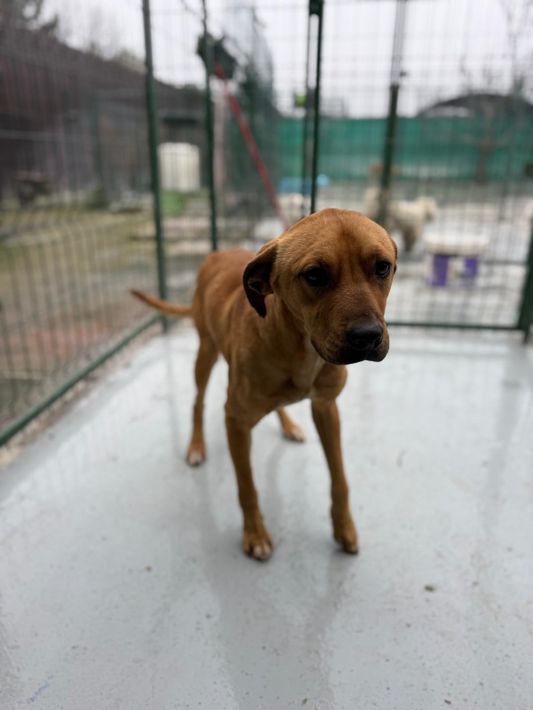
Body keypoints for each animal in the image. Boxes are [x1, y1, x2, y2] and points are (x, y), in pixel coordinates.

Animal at [132, 208, 397, 561]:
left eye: (382, 267)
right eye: (314, 275)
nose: (367, 337)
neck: (299, 349)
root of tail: (217, 253)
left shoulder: (326, 408)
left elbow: (339, 477)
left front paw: (344, 528)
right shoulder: (235, 421)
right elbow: (247, 487)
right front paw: (255, 534)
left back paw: (288, 425)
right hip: (205, 352)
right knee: (198, 401)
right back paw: (196, 446)